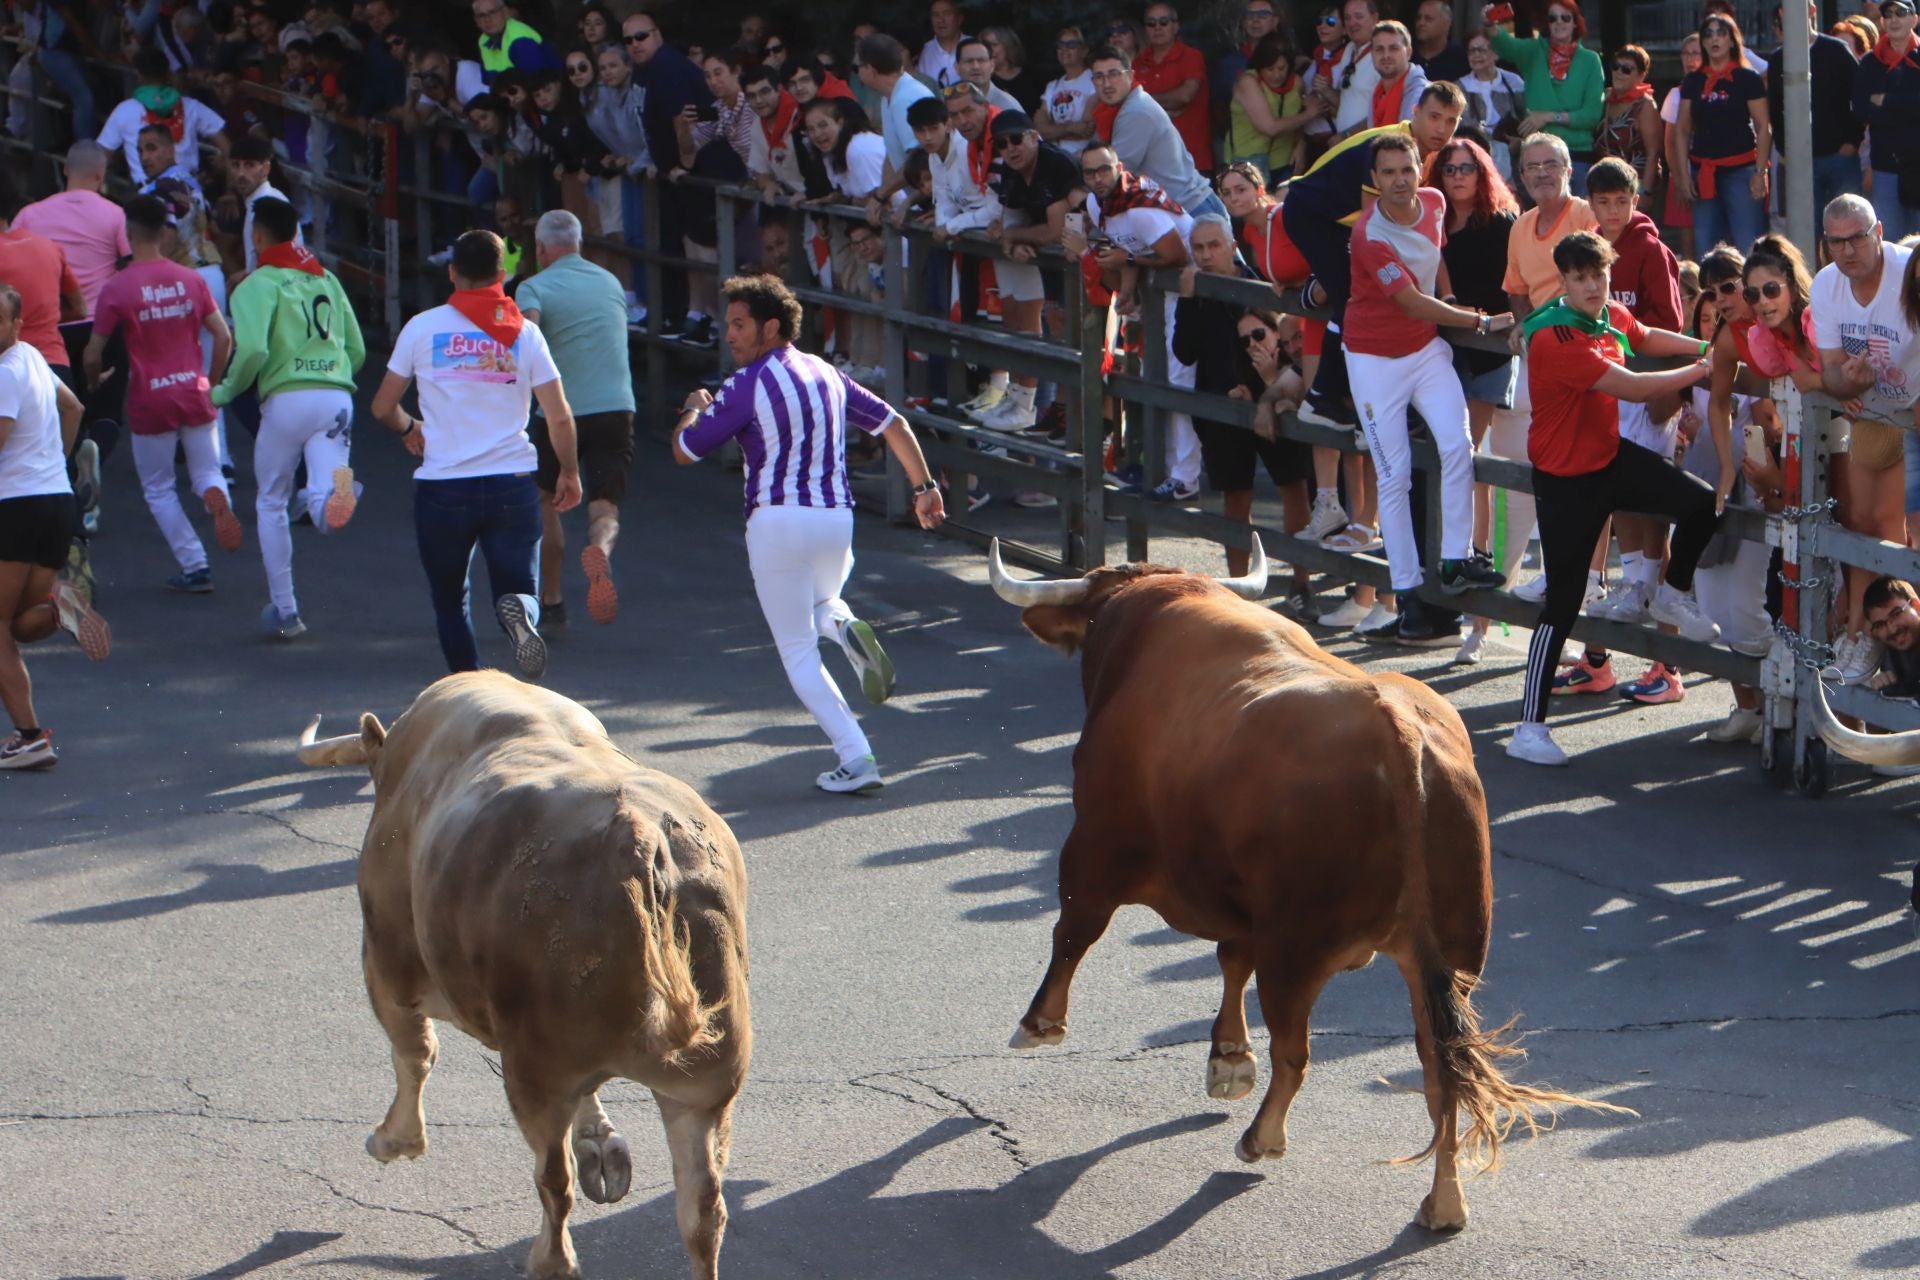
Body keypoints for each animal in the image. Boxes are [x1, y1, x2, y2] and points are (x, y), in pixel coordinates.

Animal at [297, 675, 748, 1274]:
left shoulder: (387, 964)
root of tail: (638, 837)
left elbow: (414, 1054)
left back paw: (549, 1260)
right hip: (705, 1087)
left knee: (554, 1181)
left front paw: (394, 1140)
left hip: (535, 1073)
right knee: (702, 1209)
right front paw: (600, 1144)